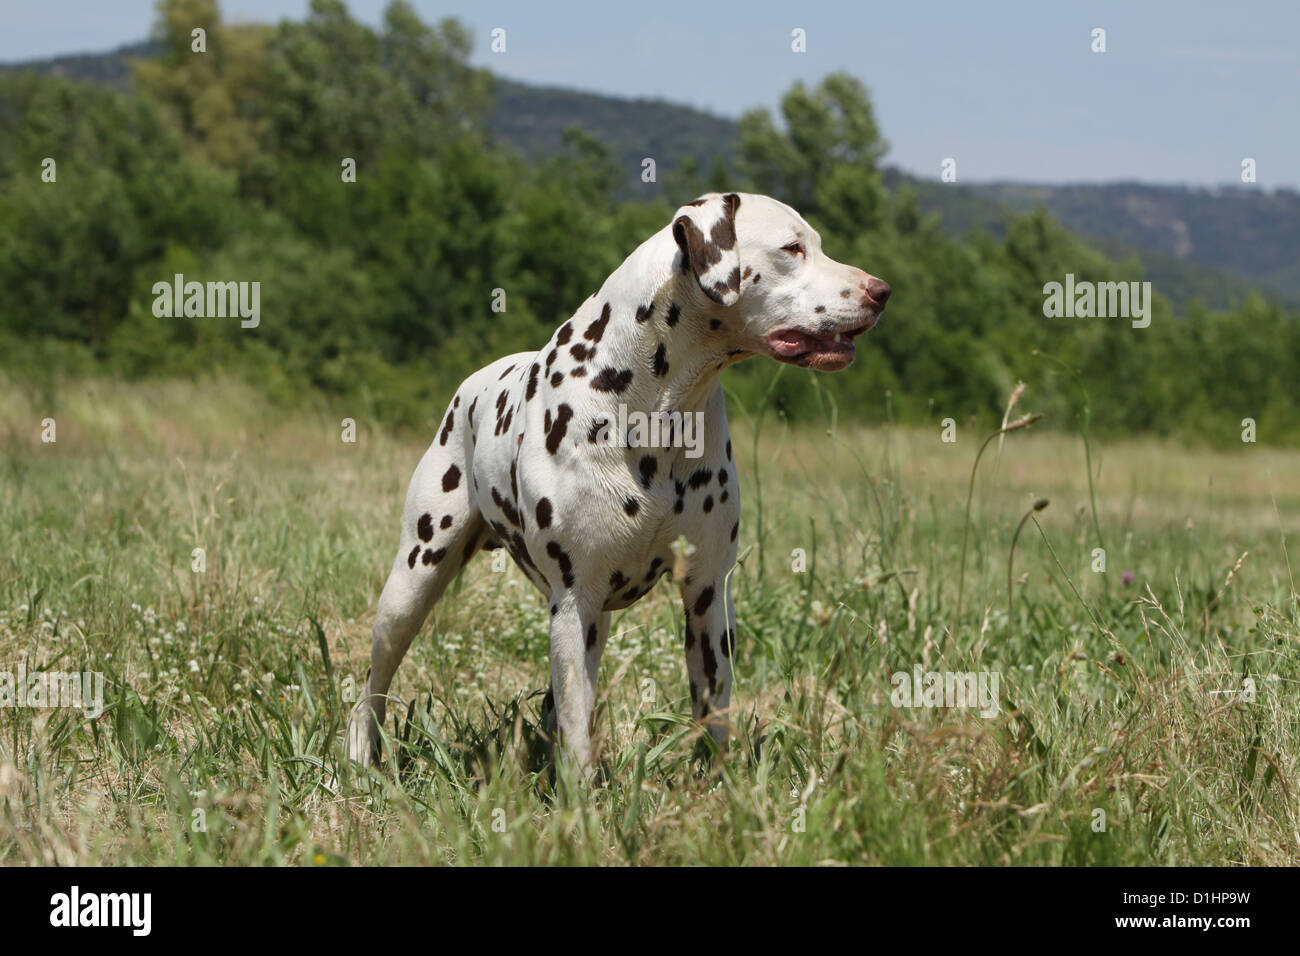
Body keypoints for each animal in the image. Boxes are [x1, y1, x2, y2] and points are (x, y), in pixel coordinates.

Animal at [348, 192, 894, 770]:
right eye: (792, 248)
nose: (881, 291)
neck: (657, 412)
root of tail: (470, 388)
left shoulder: (707, 595)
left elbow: (711, 710)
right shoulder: (575, 603)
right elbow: (577, 732)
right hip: (412, 585)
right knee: (371, 690)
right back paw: (359, 760)